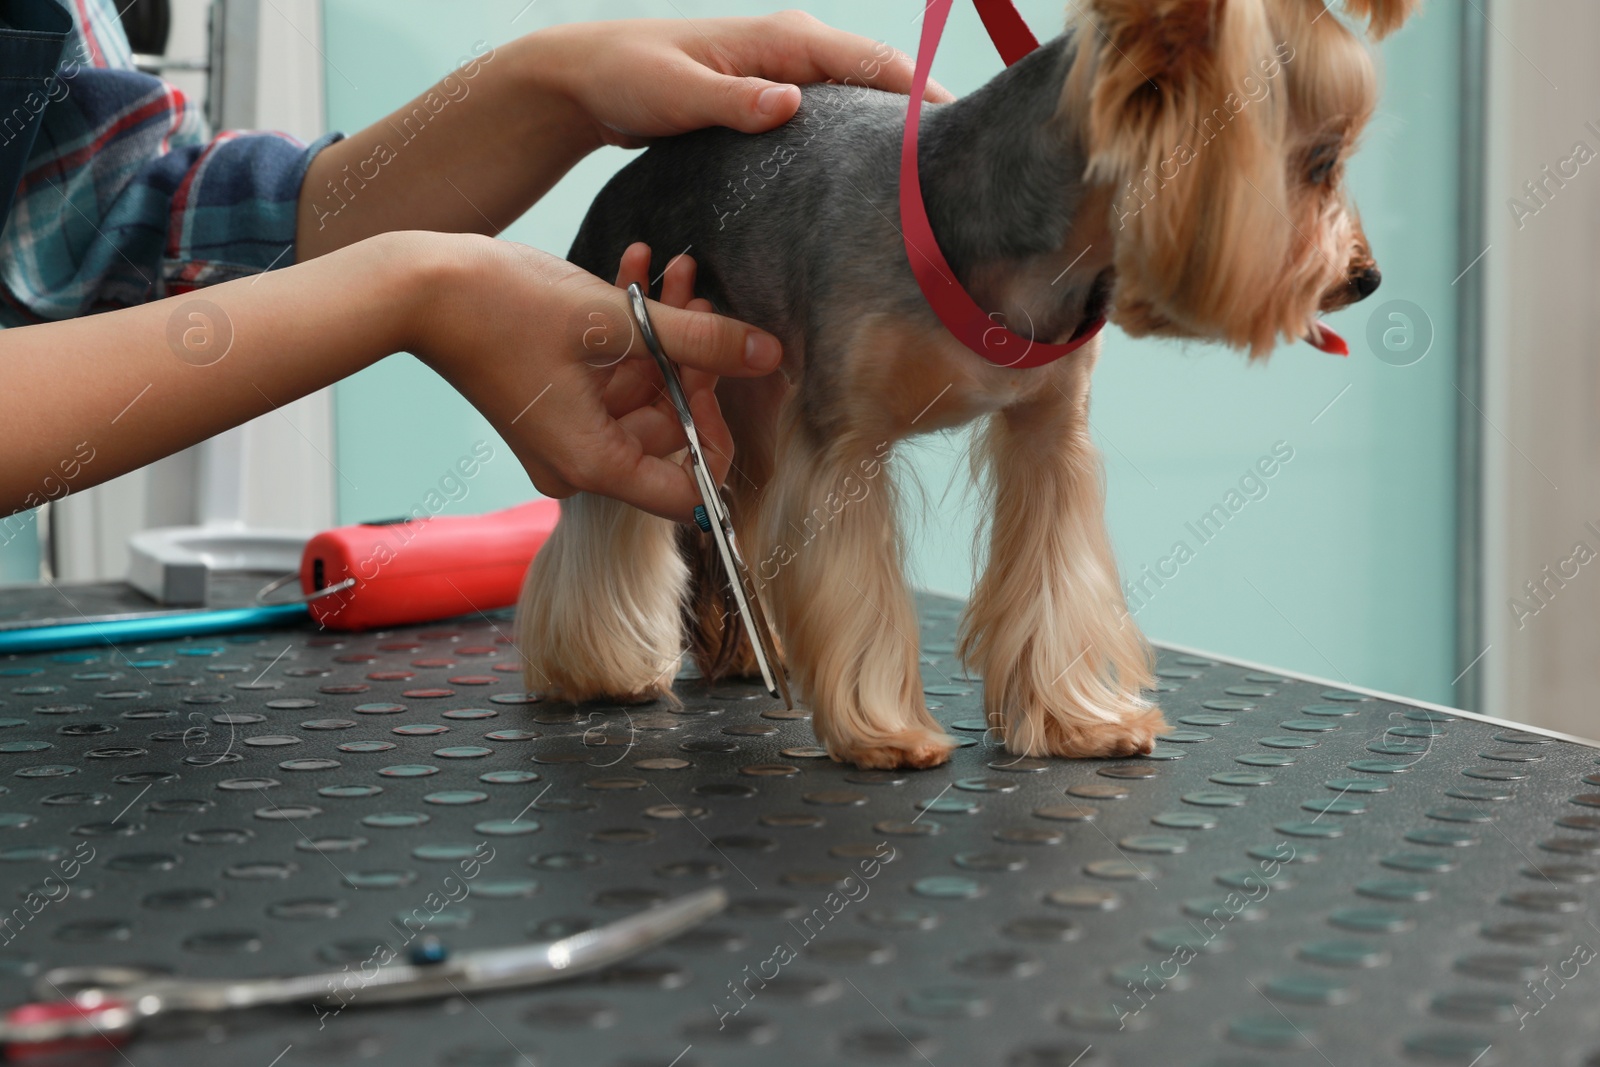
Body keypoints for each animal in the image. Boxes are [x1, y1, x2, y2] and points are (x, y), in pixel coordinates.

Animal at [512, 0, 1414, 767]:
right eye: (1321, 161)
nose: (1366, 277)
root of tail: (621, 178)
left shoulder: (1049, 432)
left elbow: (1053, 570)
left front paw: (1077, 720)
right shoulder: (845, 443)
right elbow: (856, 577)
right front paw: (885, 732)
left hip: (753, 392)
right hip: (643, 344)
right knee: (607, 522)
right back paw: (598, 664)